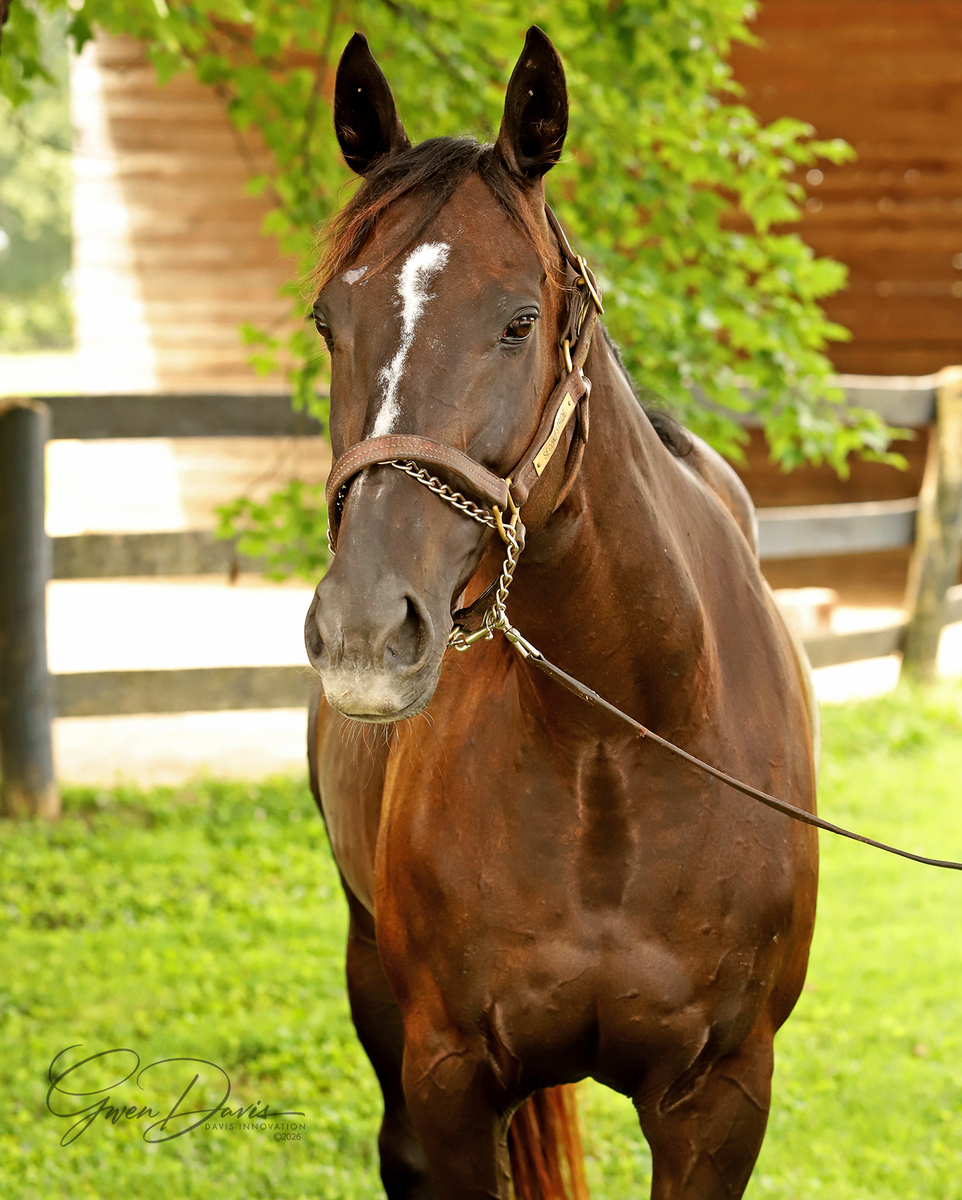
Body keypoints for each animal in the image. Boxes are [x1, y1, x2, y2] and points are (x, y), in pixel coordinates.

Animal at [305, 27, 819, 1200]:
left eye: (519, 320)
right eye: (327, 322)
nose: (363, 631)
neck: (614, 749)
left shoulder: (722, 1101)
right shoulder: (449, 1080)